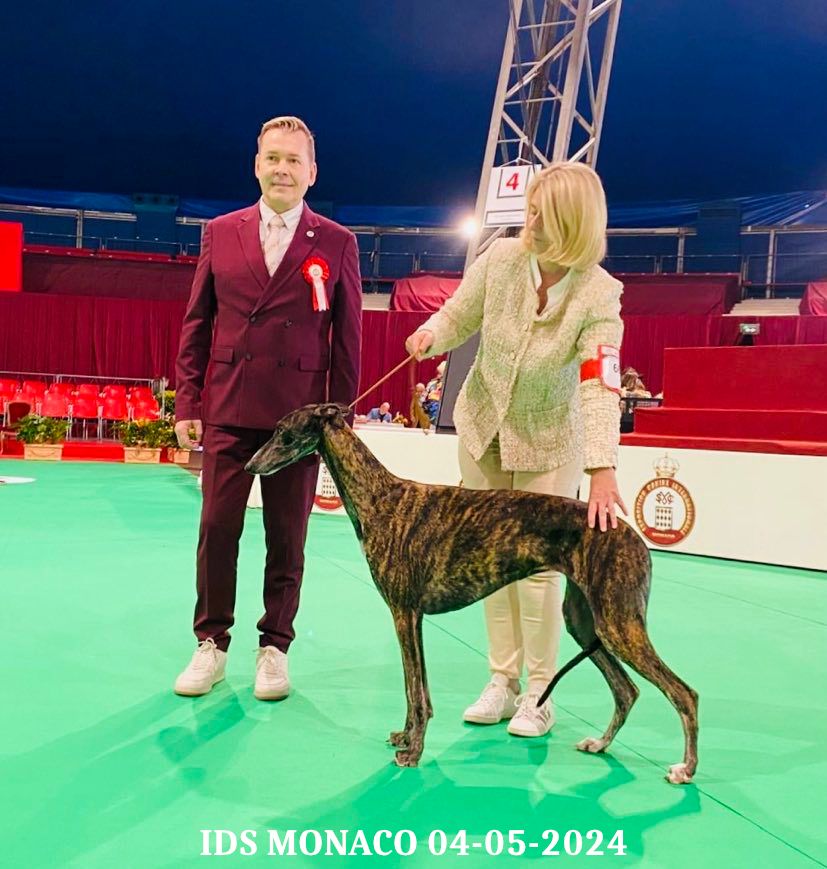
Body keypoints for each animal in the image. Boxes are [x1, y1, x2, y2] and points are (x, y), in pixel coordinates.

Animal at [246, 403, 698, 784]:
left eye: (284, 433)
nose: (250, 465)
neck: (381, 497)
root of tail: (632, 535)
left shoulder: (405, 613)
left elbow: (416, 692)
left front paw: (413, 752)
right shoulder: (411, 617)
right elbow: (416, 690)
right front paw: (405, 738)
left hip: (619, 623)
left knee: (684, 692)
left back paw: (684, 769)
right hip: (586, 622)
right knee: (627, 690)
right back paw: (600, 744)